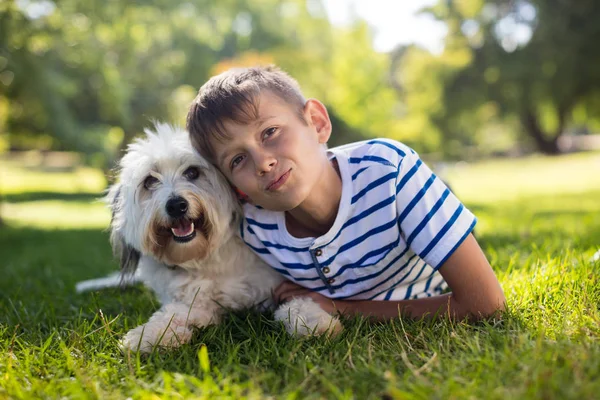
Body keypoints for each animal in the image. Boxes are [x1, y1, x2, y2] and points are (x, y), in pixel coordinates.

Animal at [105, 122, 342, 354]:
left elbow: (298, 301)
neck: (207, 257)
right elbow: (171, 314)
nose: (176, 205)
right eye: (149, 181)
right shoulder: (195, 302)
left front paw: (313, 321)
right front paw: (146, 336)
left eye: (192, 172)